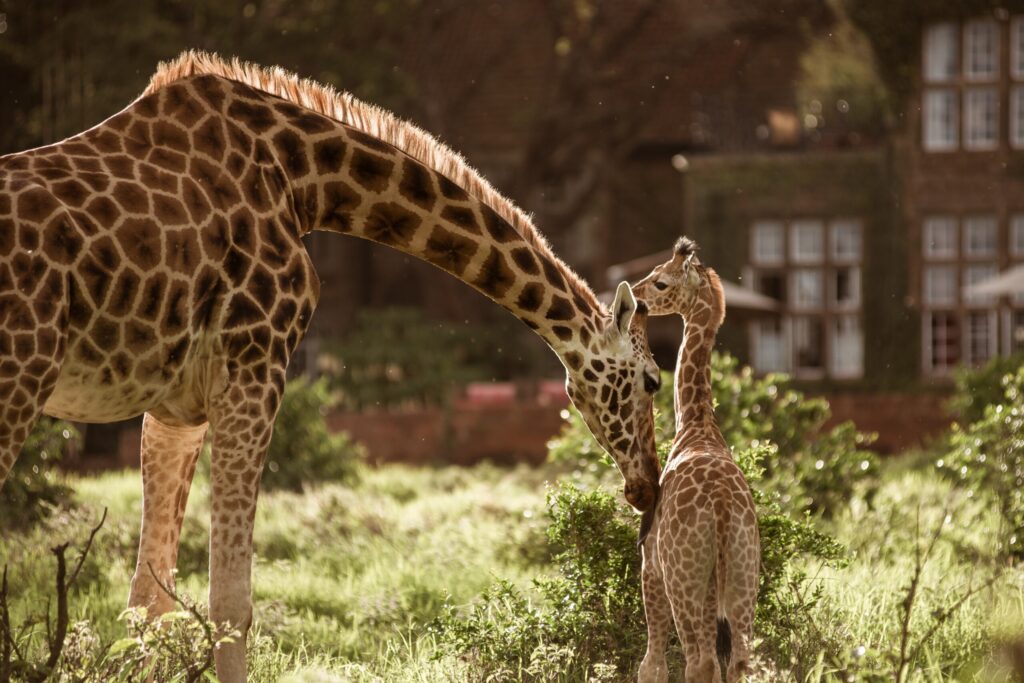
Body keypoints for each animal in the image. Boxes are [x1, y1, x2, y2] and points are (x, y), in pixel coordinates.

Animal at [0, 51, 662, 681]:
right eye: (653, 380)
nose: (647, 487)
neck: (306, 179)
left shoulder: (174, 408)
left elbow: (149, 598)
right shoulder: (255, 363)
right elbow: (231, 604)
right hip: (21, 379)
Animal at [631, 238, 760, 683]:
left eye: (661, 281)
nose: (636, 298)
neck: (697, 423)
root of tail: (721, 510)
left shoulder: (650, 564)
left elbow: (651, 664)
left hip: (683, 577)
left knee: (696, 660)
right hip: (742, 574)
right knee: (738, 661)